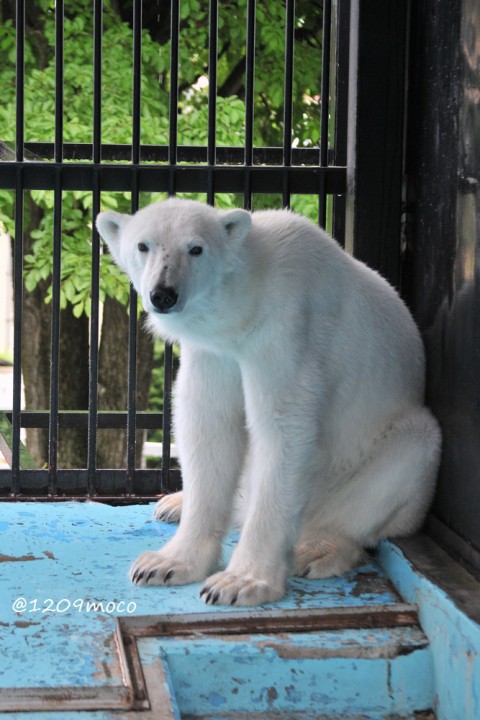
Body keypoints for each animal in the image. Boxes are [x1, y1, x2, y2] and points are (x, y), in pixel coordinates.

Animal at [96, 198, 442, 608]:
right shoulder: (215, 351)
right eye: (143, 245)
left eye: (196, 249)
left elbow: (284, 426)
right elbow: (208, 425)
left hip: (376, 470)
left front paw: (239, 583)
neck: (246, 297)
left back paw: (316, 550)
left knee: (401, 463)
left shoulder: (284, 326)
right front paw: (164, 564)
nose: (164, 293)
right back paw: (173, 503)